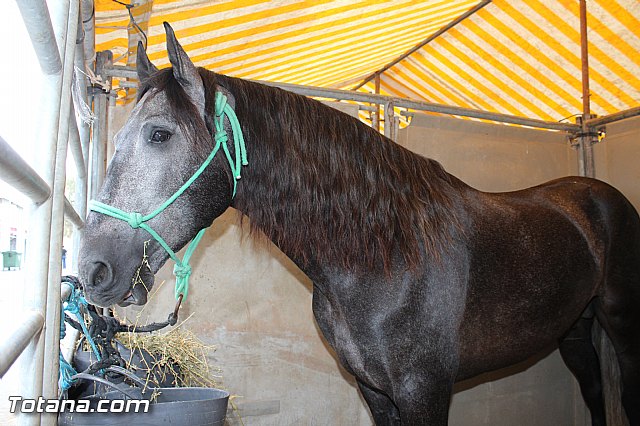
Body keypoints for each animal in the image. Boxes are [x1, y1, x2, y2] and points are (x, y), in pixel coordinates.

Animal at [78, 23, 640, 425]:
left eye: (159, 134)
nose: (91, 269)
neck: (387, 254)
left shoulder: (424, 391)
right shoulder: (376, 391)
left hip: (622, 329)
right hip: (575, 332)